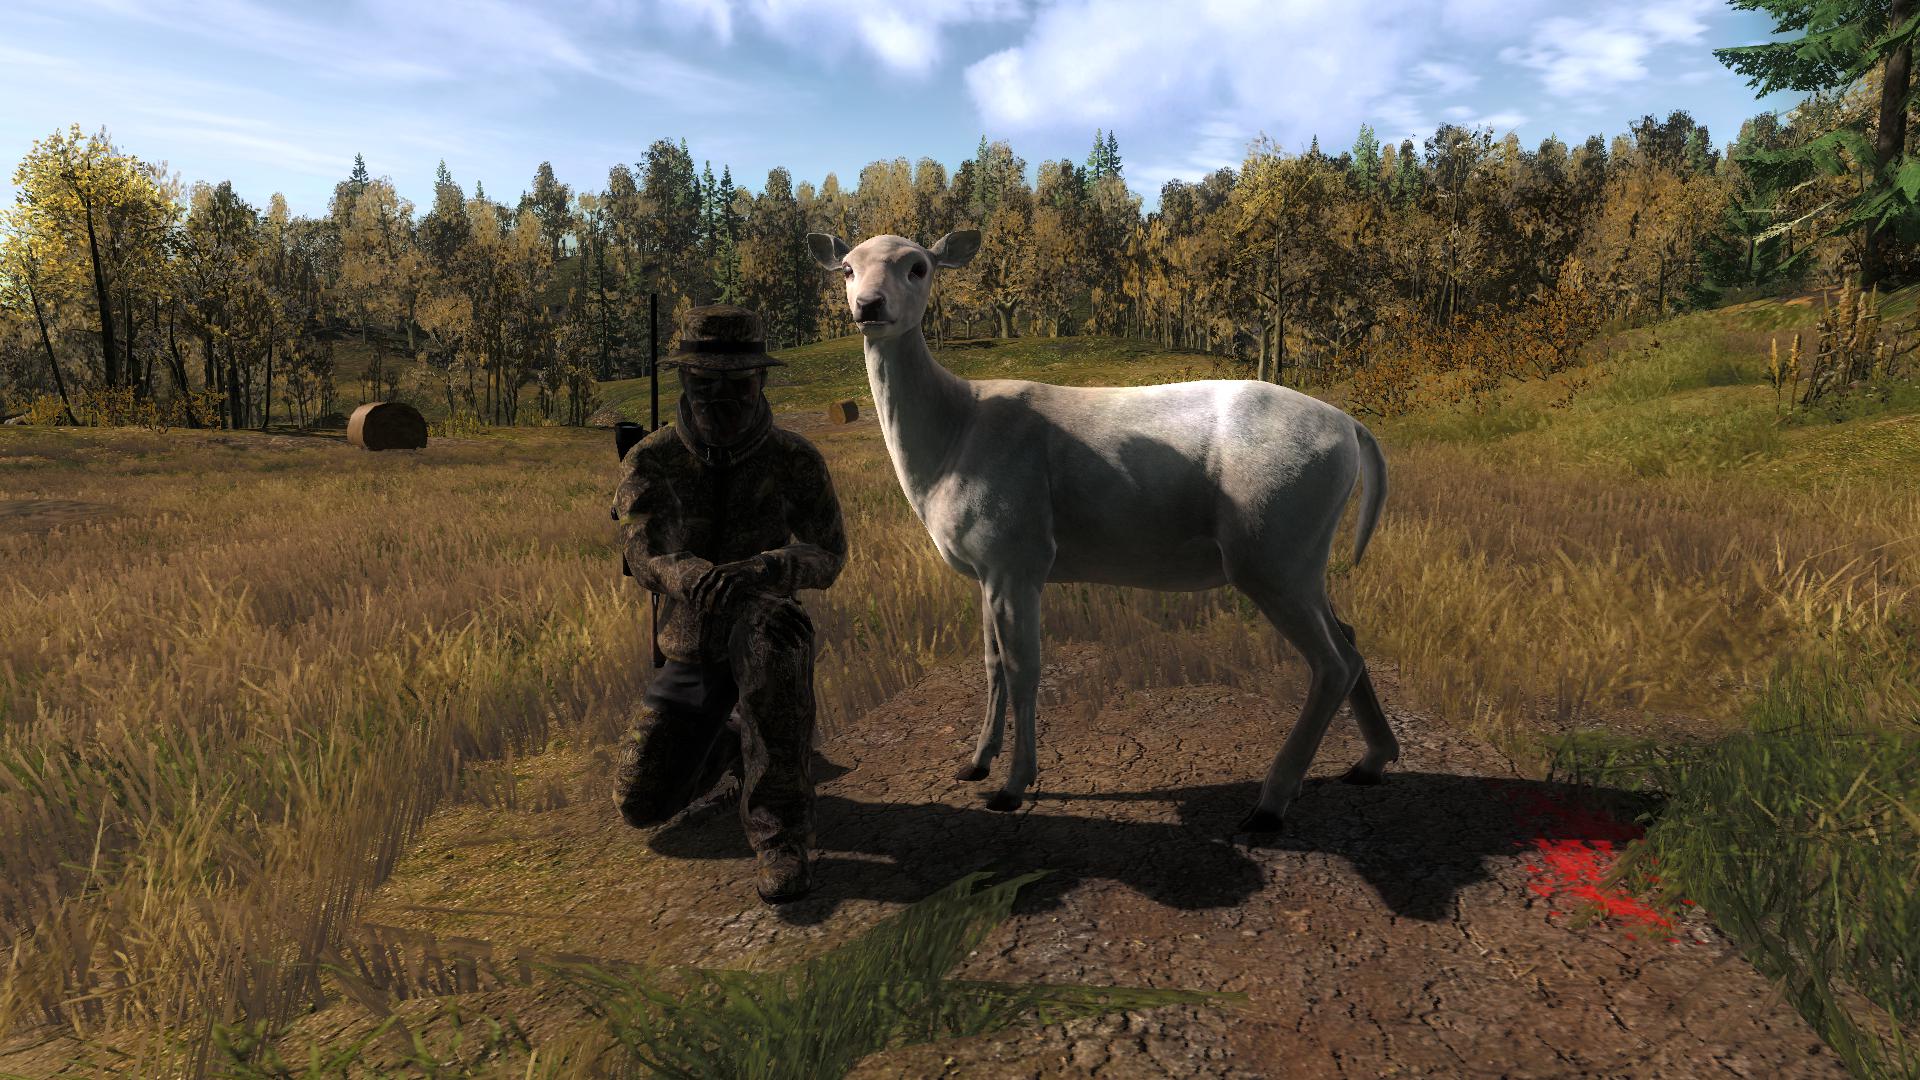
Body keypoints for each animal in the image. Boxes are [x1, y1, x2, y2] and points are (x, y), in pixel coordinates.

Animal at [807, 230, 1398, 833]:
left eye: (918, 267)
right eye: (847, 268)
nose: (869, 307)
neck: (952, 439)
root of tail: (1351, 426)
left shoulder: (1019, 552)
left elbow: (1024, 667)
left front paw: (1013, 787)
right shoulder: (984, 567)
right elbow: (992, 664)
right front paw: (974, 764)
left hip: (1269, 549)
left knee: (1332, 661)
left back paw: (1271, 802)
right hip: (1301, 555)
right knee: (1349, 636)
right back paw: (1370, 762)